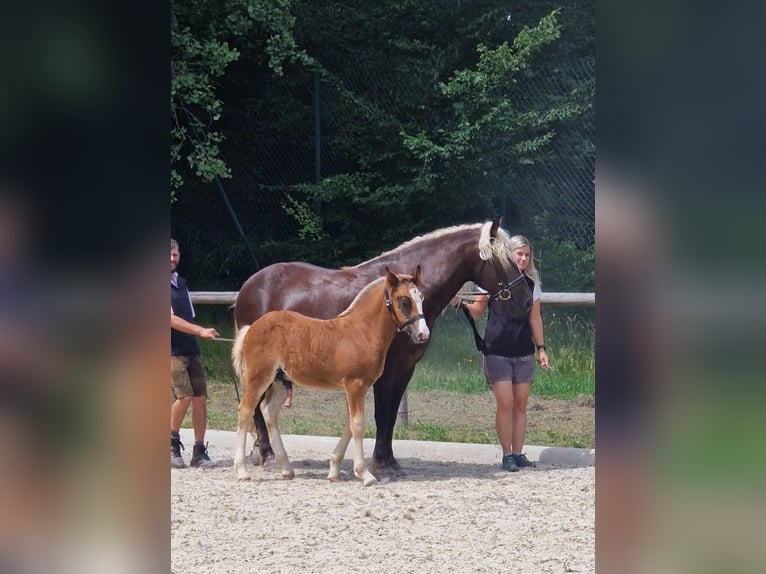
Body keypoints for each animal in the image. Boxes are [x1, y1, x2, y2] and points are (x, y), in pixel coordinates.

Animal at [231, 267, 429, 485]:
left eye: (421, 297)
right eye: (404, 300)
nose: (423, 334)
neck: (361, 331)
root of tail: (251, 328)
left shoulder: (355, 387)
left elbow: (350, 424)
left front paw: (334, 471)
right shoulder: (355, 384)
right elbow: (357, 425)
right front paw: (365, 474)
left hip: (281, 382)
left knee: (269, 411)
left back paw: (287, 469)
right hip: (258, 378)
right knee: (245, 411)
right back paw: (242, 471)